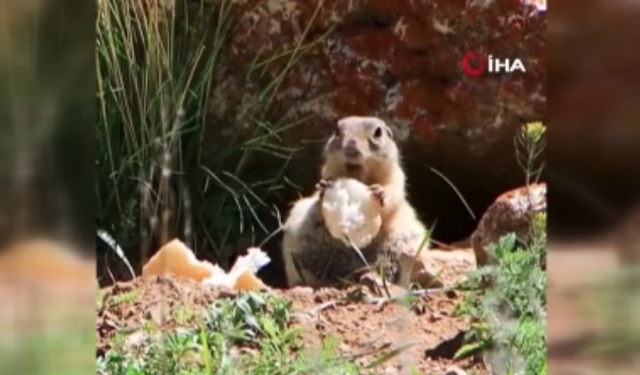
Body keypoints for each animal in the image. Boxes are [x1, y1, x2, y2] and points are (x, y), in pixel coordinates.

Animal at [282, 117, 428, 288]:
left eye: (378, 132)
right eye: (337, 130)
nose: (351, 148)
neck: (359, 177)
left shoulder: (397, 178)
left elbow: (392, 196)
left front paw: (380, 192)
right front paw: (323, 188)